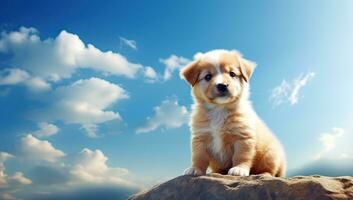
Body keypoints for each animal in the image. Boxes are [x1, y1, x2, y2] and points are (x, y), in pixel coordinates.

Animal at [180, 49, 284, 177]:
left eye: (232, 74)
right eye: (208, 76)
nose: (222, 85)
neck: (219, 109)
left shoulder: (243, 137)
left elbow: (241, 155)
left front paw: (239, 169)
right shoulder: (200, 137)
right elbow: (198, 156)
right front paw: (195, 168)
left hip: (270, 154)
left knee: (270, 170)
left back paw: (264, 174)